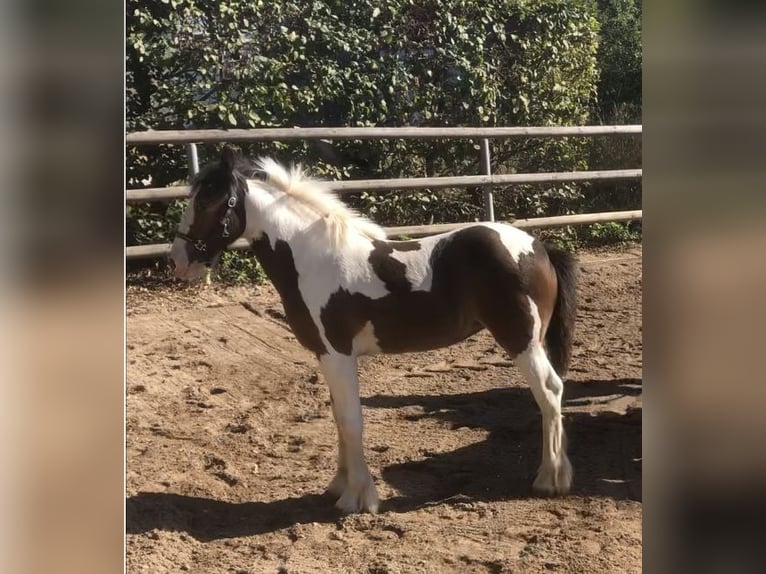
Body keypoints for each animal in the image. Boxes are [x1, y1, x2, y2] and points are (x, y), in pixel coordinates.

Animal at [171, 146, 580, 516]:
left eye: (208, 201)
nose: (178, 261)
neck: (312, 259)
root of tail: (538, 247)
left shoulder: (337, 354)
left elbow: (352, 421)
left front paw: (358, 498)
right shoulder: (326, 356)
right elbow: (339, 418)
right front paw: (339, 486)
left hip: (521, 340)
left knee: (549, 390)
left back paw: (550, 479)